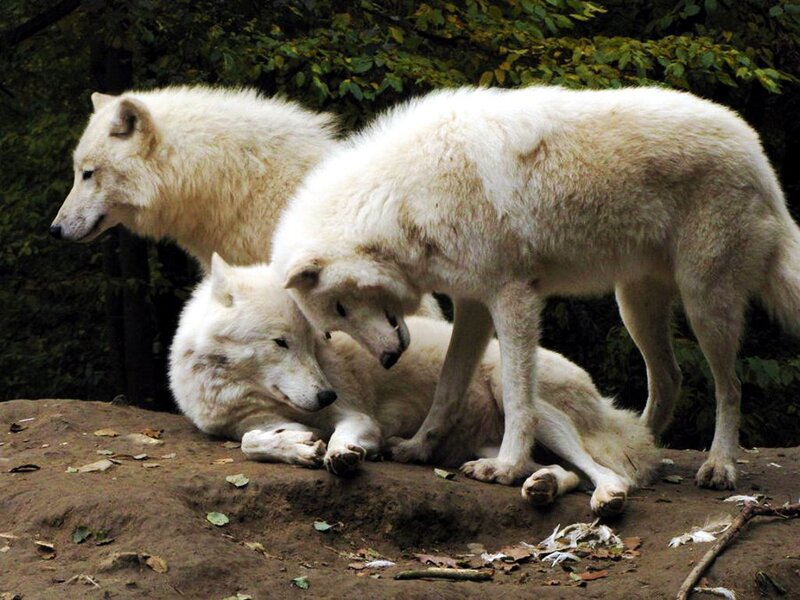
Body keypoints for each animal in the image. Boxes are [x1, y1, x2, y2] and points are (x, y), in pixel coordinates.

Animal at [169, 255, 658, 516]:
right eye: (281, 343)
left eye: (314, 342)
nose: (326, 395)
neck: (236, 390)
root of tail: (611, 409)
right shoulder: (249, 423)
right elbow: (250, 441)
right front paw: (296, 446)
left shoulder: (359, 415)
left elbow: (344, 437)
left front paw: (342, 453)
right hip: (483, 446)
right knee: (552, 471)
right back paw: (541, 486)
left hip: (518, 396)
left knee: (607, 473)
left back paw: (607, 495)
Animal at [272, 85, 800, 491]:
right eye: (333, 318)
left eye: (342, 307)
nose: (386, 360)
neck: (404, 198)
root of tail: (757, 152)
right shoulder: (473, 305)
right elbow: (447, 388)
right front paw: (419, 448)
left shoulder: (514, 299)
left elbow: (518, 398)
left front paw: (505, 467)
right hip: (634, 306)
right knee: (669, 379)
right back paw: (639, 446)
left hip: (705, 303)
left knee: (730, 387)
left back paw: (719, 466)